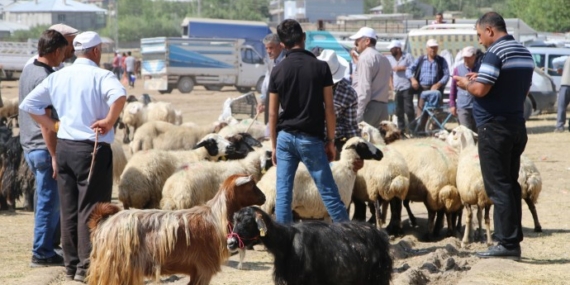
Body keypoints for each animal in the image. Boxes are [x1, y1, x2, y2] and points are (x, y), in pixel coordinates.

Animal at [87, 173, 266, 284]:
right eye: (251, 185)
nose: (264, 198)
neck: (215, 217)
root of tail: (103, 224)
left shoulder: (196, 271)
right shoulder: (203, 269)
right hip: (115, 269)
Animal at [226, 206, 390, 284]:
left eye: (248, 223)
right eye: (235, 220)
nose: (231, 243)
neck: (286, 241)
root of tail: (380, 234)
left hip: (378, 277)